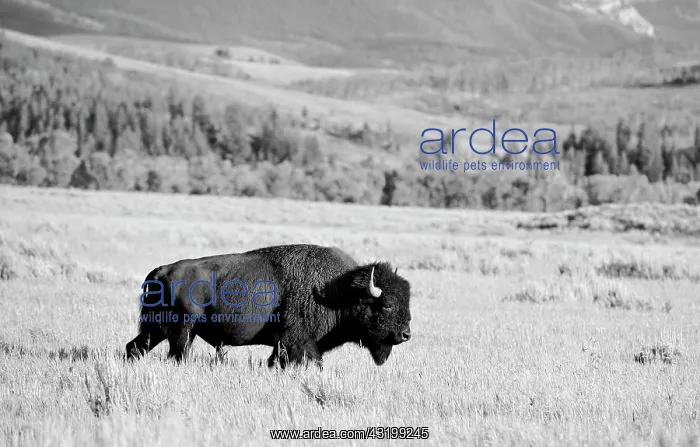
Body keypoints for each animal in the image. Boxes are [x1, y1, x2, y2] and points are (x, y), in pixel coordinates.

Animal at [125, 244, 412, 368]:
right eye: (387, 305)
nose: (406, 334)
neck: (338, 290)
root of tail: (162, 270)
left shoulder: (284, 344)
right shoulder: (299, 341)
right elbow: (312, 361)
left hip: (157, 329)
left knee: (135, 347)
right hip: (183, 330)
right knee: (177, 354)